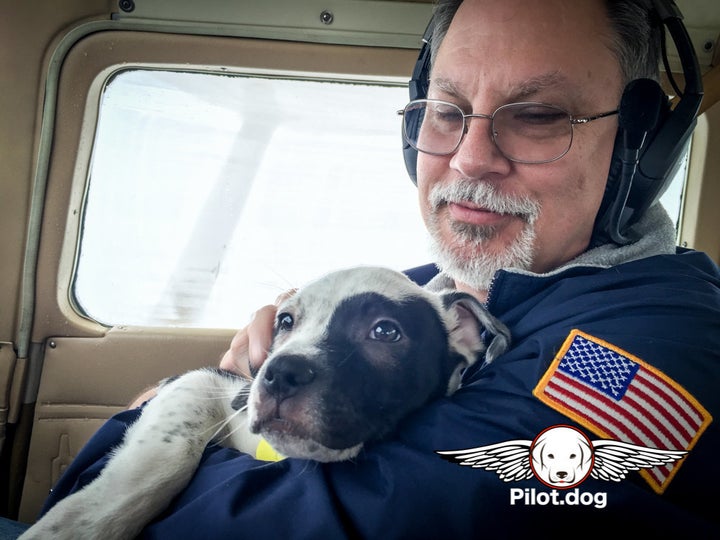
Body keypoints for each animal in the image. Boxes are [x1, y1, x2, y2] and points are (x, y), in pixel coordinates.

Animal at [21, 266, 506, 540]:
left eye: (386, 331)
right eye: (285, 322)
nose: (281, 372)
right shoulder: (204, 382)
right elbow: (160, 461)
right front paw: (78, 524)